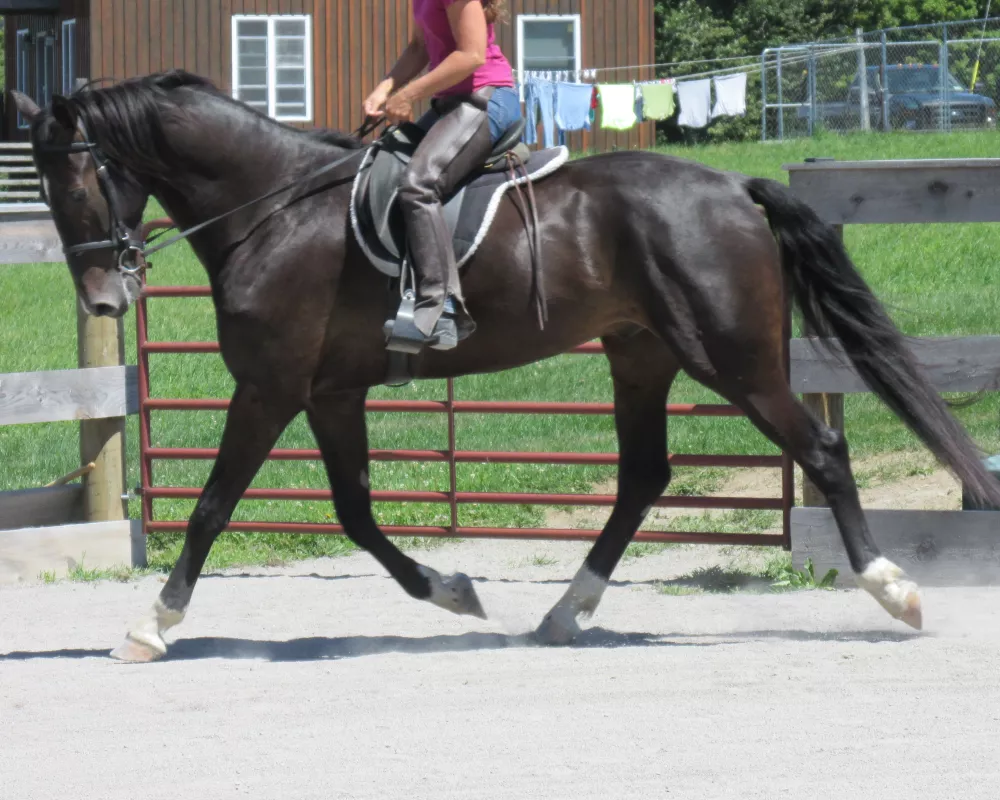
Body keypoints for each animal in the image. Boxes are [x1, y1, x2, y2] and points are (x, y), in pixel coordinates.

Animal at [13, 73, 1000, 664]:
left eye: (77, 183)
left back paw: (896, 594)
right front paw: (452, 591)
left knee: (821, 454)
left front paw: (150, 625)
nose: (103, 302)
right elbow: (355, 514)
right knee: (644, 475)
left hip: (734, 361)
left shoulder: (271, 387)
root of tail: (730, 187)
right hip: (641, 355)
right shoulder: (329, 391)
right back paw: (565, 613)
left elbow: (214, 505)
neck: (275, 209)